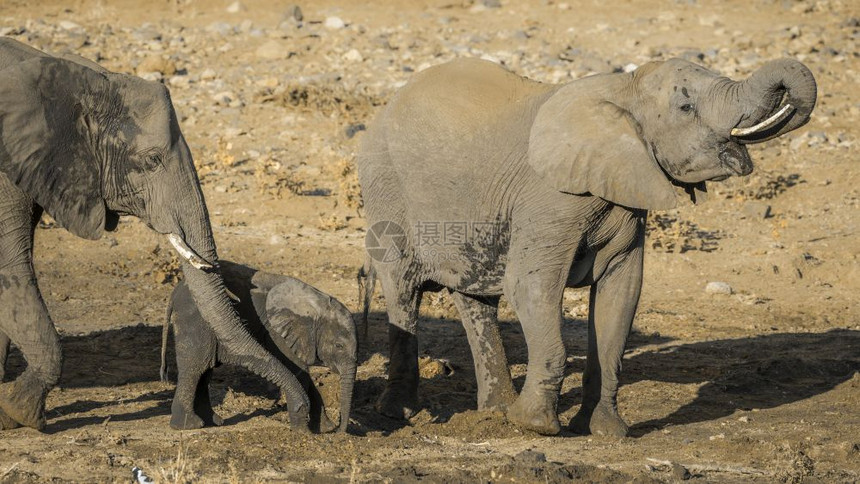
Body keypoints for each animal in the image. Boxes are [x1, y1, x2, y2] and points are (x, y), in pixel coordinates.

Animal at [161, 262, 356, 432]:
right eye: (339, 346)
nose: (341, 432)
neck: (316, 303)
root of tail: (175, 291)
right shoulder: (278, 332)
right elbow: (298, 370)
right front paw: (304, 430)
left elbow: (302, 373)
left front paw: (325, 429)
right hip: (194, 321)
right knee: (195, 367)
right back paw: (188, 425)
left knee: (205, 369)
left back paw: (212, 422)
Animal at [360, 55, 816, 434]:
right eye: (686, 108)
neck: (622, 91)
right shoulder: (549, 198)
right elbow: (529, 286)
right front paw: (535, 427)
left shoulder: (627, 199)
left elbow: (622, 293)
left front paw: (607, 432)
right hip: (387, 188)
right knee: (403, 288)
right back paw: (401, 413)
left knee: (476, 301)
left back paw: (495, 413)